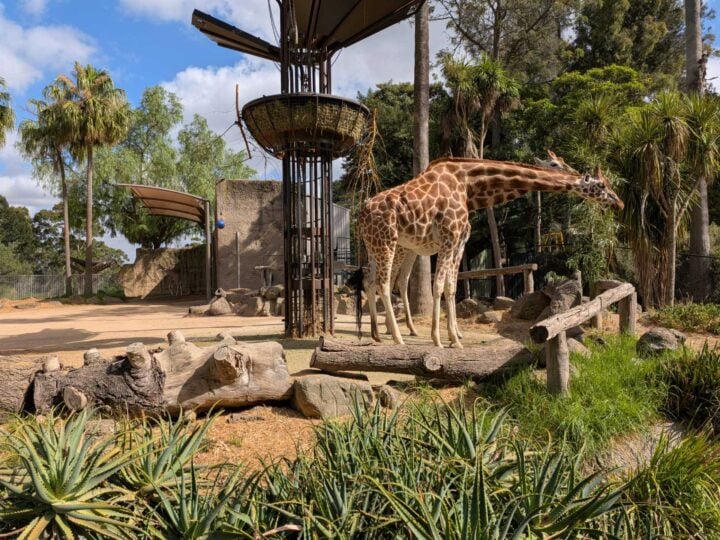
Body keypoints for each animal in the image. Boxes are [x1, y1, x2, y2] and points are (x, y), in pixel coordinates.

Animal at [356, 157, 624, 348]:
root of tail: (362, 212)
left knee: (373, 281)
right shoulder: (450, 239)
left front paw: (454, 337)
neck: (469, 185)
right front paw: (439, 339)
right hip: (390, 243)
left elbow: (450, 287)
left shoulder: (456, 243)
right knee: (384, 283)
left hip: (377, 246)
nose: (619, 203)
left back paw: (378, 333)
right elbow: (440, 285)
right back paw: (398, 336)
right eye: (601, 185)